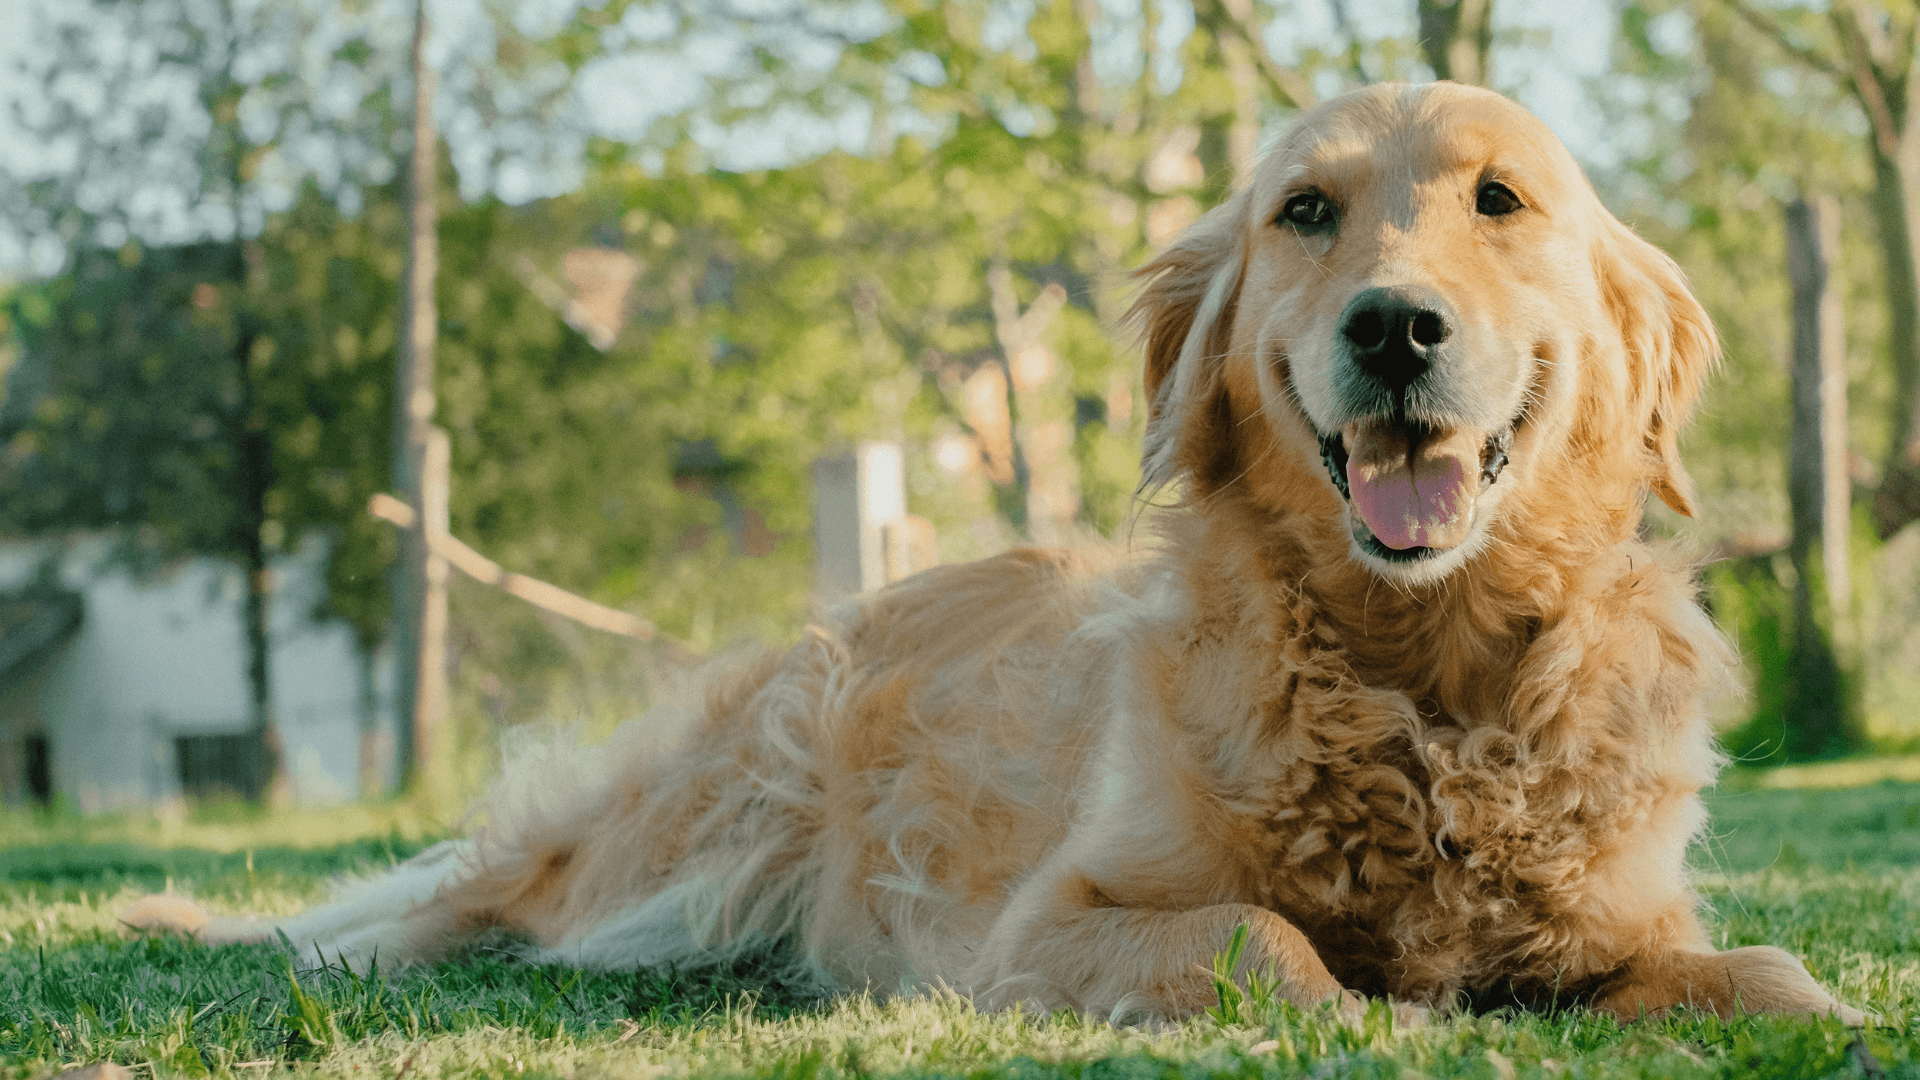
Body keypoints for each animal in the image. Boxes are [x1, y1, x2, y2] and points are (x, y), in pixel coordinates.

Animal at [127, 79, 1866, 1022]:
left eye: (1501, 201)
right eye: (1306, 211)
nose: (1394, 327)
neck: (1417, 679)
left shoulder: (1629, 922)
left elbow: (1769, 972)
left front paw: (1818, 1003)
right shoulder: (1054, 923)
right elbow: (1268, 943)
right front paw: (1373, 1007)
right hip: (687, 841)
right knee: (460, 903)